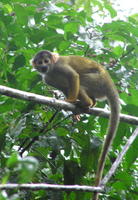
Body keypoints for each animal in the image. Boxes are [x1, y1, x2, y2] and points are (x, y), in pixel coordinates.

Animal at [32, 50, 119, 200]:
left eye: (46, 61)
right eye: (40, 62)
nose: (43, 66)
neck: (52, 69)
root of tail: (108, 80)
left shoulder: (59, 65)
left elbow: (73, 76)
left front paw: (71, 100)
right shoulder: (47, 78)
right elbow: (65, 86)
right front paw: (73, 109)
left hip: (97, 81)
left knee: (82, 80)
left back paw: (86, 102)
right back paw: (91, 103)